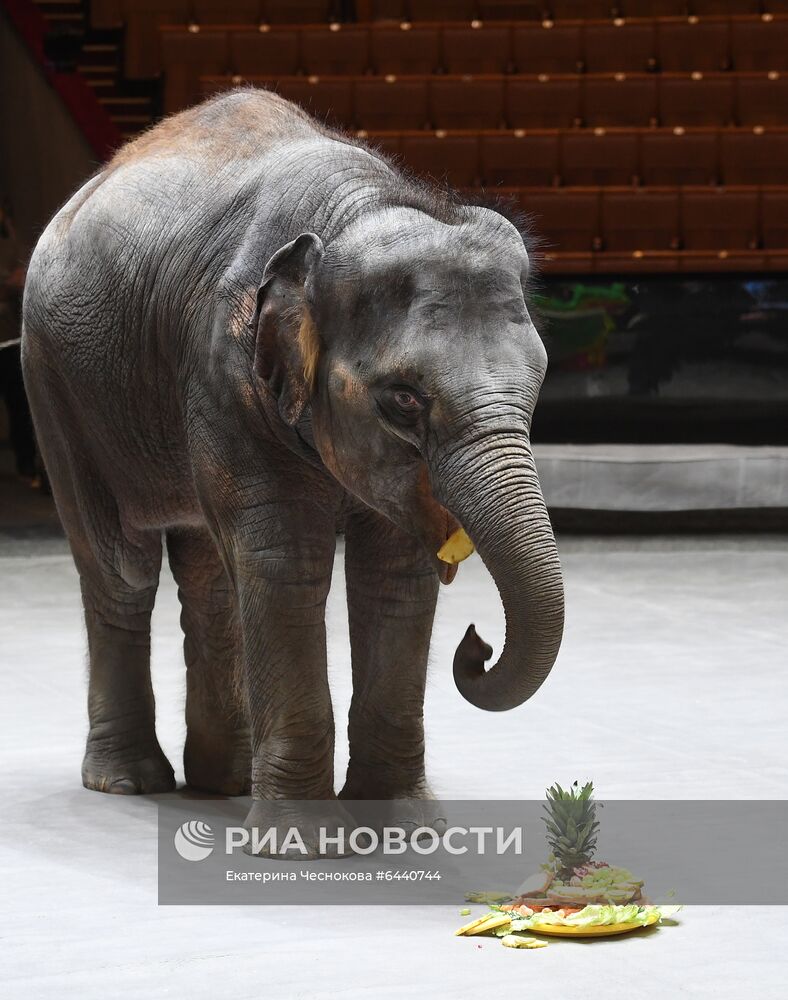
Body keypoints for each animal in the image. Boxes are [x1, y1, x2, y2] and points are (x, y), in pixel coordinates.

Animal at [21, 90, 564, 856]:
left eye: (538, 383)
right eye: (404, 398)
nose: (478, 645)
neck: (353, 213)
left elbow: (395, 574)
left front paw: (405, 829)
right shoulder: (225, 370)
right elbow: (285, 564)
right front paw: (300, 845)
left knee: (208, 574)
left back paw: (222, 783)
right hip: (55, 385)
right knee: (120, 570)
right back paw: (128, 782)